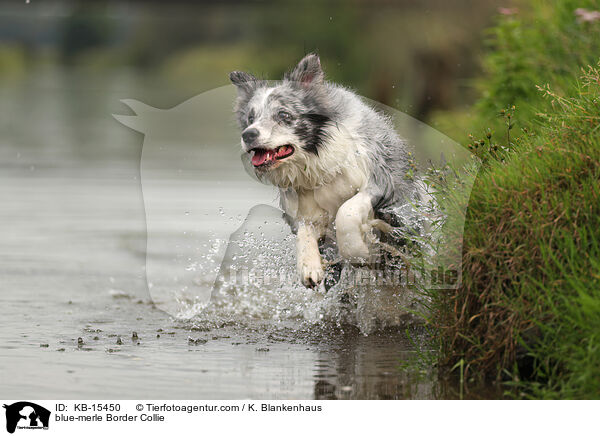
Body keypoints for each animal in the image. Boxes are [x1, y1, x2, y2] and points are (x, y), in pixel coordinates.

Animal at [227, 53, 420, 290]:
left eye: (283, 114)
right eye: (250, 118)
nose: (248, 135)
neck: (316, 162)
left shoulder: (381, 183)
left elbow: (346, 211)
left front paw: (357, 251)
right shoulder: (306, 209)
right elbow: (304, 231)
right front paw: (309, 267)